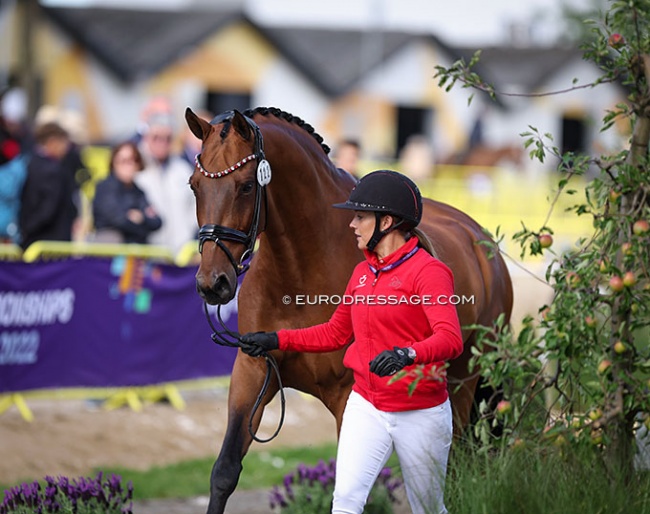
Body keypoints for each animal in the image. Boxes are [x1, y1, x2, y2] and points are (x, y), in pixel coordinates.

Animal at [184, 105, 512, 512]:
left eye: (246, 186)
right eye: (194, 185)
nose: (212, 283)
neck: (299, 270)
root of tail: (480, 238)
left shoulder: (347, 397)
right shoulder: (253, 370)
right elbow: (225, 471)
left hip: (464, 380)